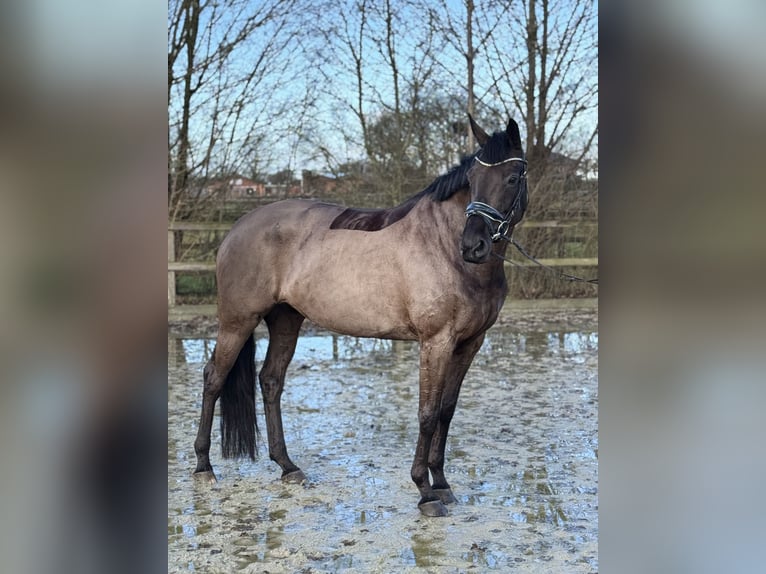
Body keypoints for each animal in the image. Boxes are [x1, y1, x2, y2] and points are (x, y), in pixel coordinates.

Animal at [192, 115, 532, 520]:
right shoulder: (436, 341)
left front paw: (443, 484)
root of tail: (237, 228)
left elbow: (446, 411)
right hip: (238, 320)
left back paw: (288, 467)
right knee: (214, 378)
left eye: (511, 178)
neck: (445, 247)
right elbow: (427, 413)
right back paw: (204, 467)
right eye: (473, 180)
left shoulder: (470, 343)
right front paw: (425, 492)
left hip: (286, 320)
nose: (473, 247)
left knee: (271, 381)